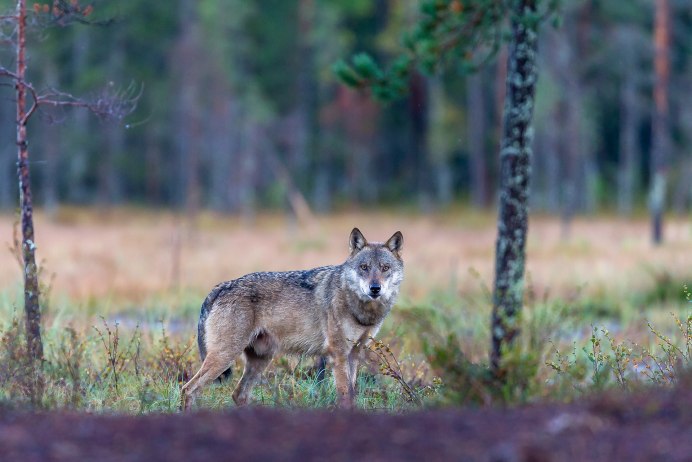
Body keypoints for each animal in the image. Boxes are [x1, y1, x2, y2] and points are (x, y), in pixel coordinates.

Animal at [181, 228, 404, 411]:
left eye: (384, 268)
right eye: (364, 267)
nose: (375, 288)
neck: (359, 308)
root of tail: (220, 287)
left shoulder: (354, 354)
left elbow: (353, 393)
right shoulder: (338, 354)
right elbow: (345, 397)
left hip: (260, 360)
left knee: (238, 394)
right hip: (225, 356)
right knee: (189, 389)